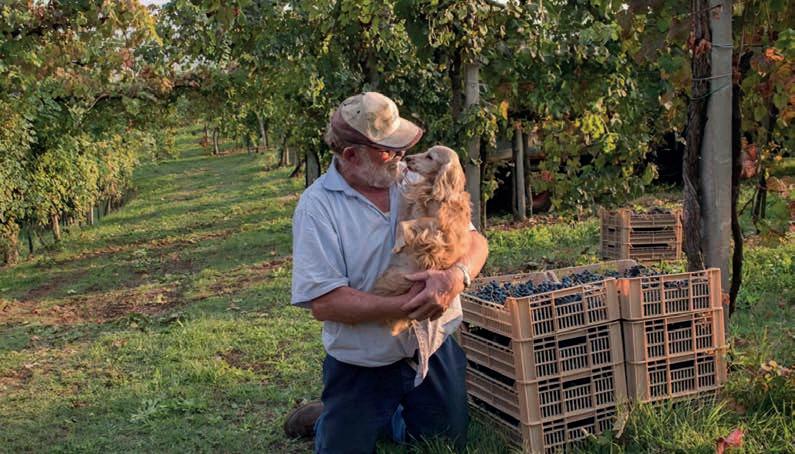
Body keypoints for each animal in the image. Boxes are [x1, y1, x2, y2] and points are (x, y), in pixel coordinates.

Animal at [370, 145, 472, 335]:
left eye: (430, 157)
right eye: (426, 151)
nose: (407, 158)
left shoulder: (438, 227)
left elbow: (403, 224)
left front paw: (398, 243)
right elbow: (404, 218)